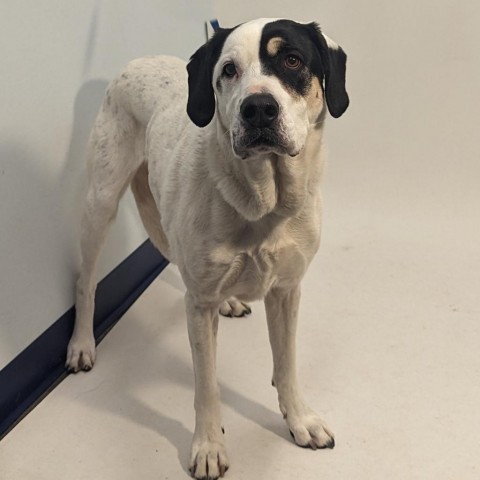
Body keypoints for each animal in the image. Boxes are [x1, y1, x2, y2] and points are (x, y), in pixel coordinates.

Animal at [64, 18, 348, 480]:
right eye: (229, 70)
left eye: (292, 60)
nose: (258, 109)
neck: (263, 203)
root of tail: (138, 60)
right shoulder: (197, 307)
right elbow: (207, 385)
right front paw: (209, 446)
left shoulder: (287, 290)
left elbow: (286, 365)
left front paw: (300, 419)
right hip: (100, 204)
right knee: (85, 281)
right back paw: (81, 344)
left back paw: (229, 302)